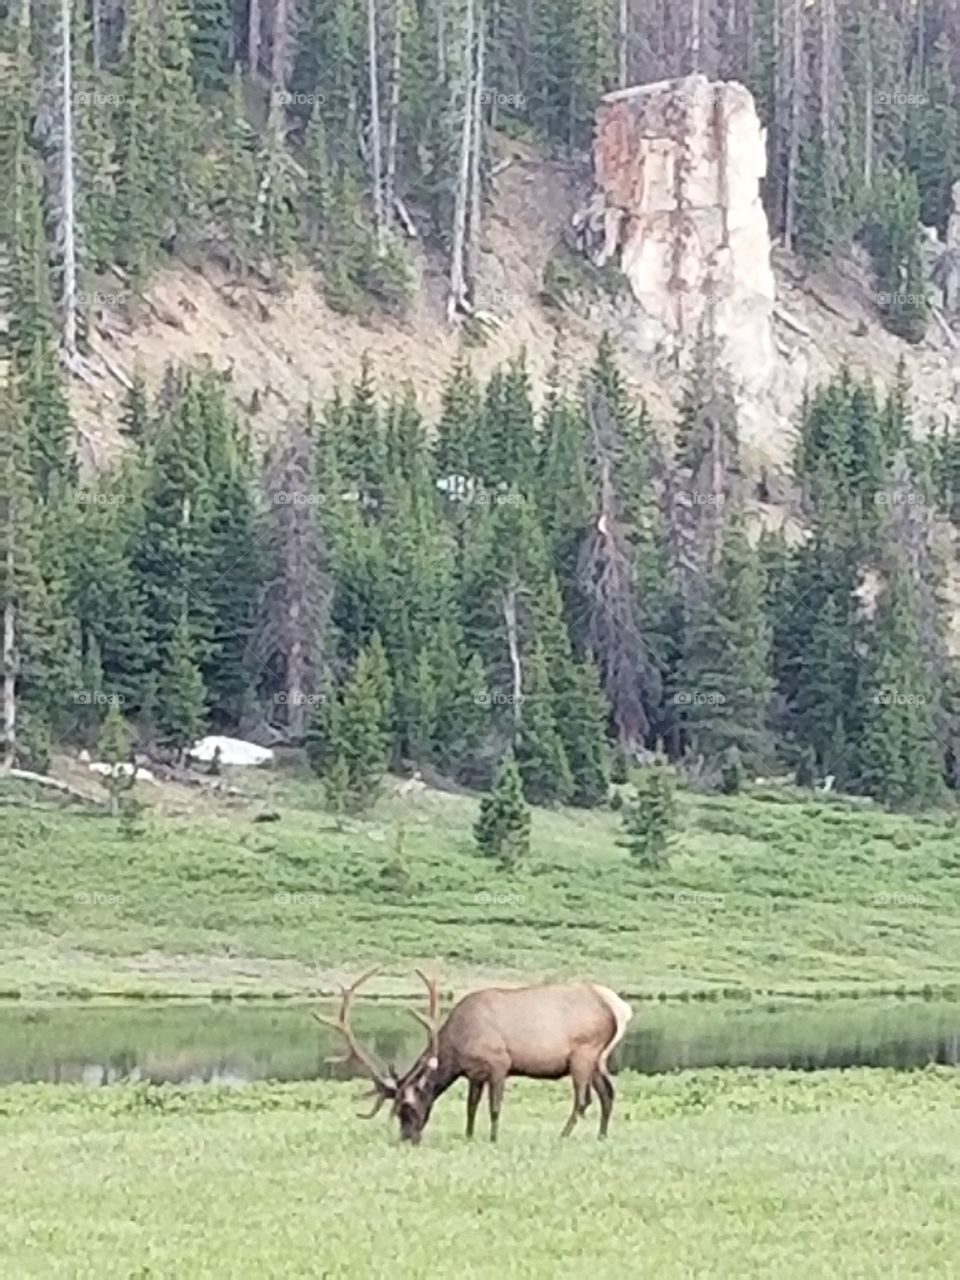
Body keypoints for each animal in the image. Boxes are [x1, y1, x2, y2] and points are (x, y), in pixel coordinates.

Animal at [313, 968, 633, 1144]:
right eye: (398, 1111)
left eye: (409, 1108)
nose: (407, 1138)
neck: (457, 1043)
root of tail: (618, 1009)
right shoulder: (473, 1074)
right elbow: (471, 1107)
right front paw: (468, 1136)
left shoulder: (499, 1063)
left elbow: (494, 1107)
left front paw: (493, 1138)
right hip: (598, 1059)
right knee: (608, 1093)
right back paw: (602, 1135)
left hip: (584, 1053)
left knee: (583, 1099)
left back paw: (563, 1135)